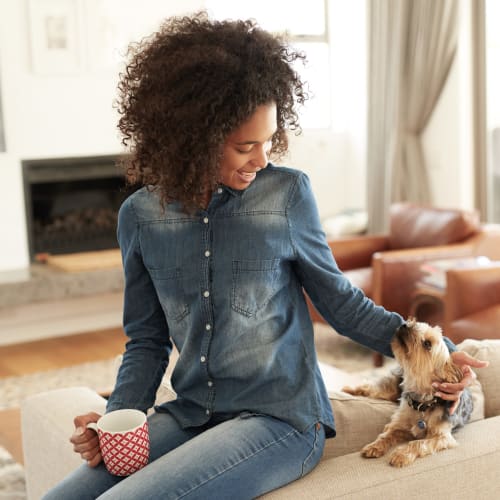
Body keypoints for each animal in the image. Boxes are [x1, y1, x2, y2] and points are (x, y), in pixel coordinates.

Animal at [344, 318, 472, 466]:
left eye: (427, 344)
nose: (404, 324)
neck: (422, 402)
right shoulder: (397, 424)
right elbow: (386, 434)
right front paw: (375, 446)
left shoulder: (442, 437)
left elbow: (418, 443)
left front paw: (401, 454)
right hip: (391, 389)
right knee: (371, 388)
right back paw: (348, 389)